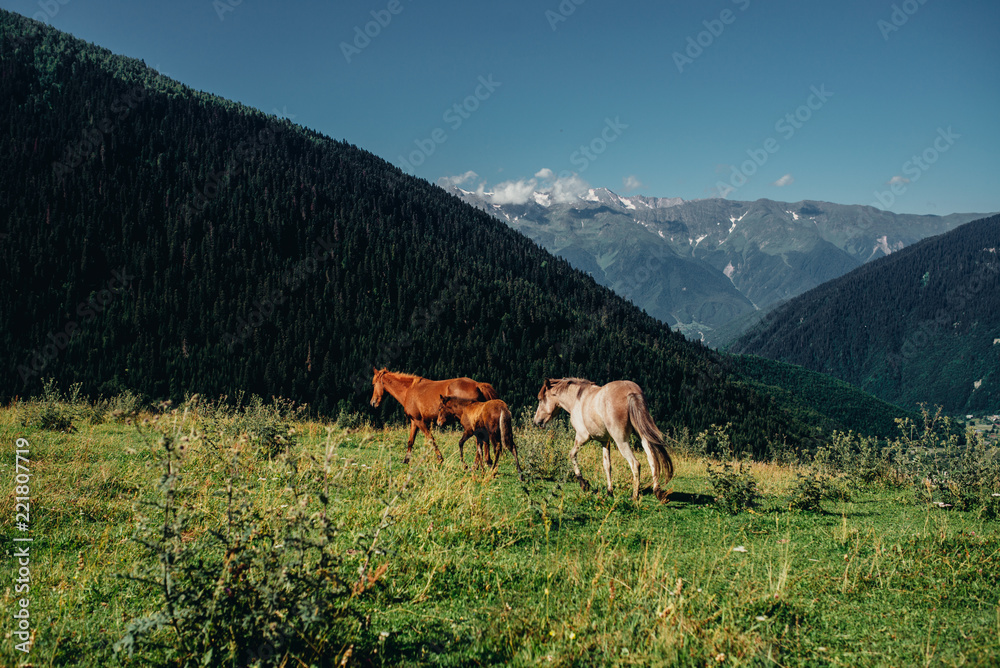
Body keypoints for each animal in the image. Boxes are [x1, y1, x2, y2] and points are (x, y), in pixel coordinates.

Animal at [372, 368, 500, 462]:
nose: (373, 402)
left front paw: (439, 458)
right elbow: (410, 441)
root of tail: (477, 385)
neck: (409, 390)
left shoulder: (420, 421)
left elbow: (430, 439)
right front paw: (406, 460)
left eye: (374, 384)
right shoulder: (414, 421)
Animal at [532, 376, 672, 500]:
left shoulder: (582, 437)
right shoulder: (605, 441)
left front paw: (583, 483)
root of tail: (631, 392)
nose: (536, 422)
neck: (578, 400)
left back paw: (634, 496)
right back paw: (657, 491)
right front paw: (609, 492)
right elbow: (607, 465)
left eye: (540, 399)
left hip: (621, 440)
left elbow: (572, 455)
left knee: (635, 463)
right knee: (652, 458)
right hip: (642, 435)